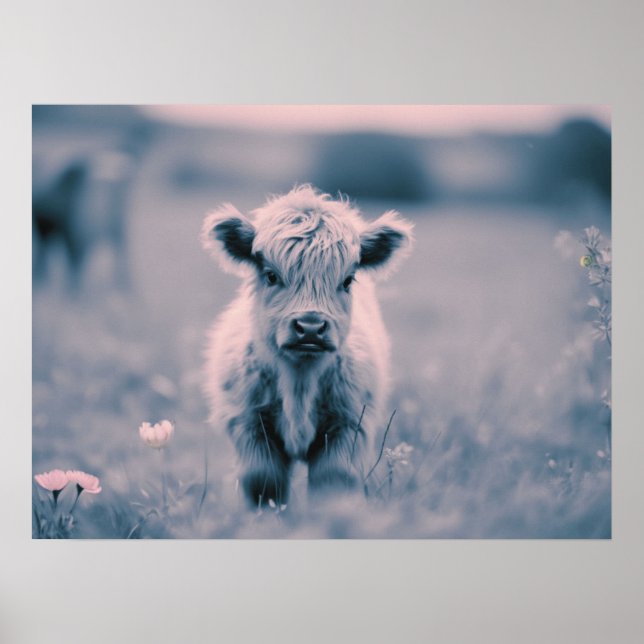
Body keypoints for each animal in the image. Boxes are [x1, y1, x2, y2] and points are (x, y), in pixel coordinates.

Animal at [201, 185, 413, 507]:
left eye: (348, 280)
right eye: (271, 275)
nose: (311, 327)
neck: (299, 383)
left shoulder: (348, 426)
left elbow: (332, 481)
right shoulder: (249, 425)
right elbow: (264, 483)